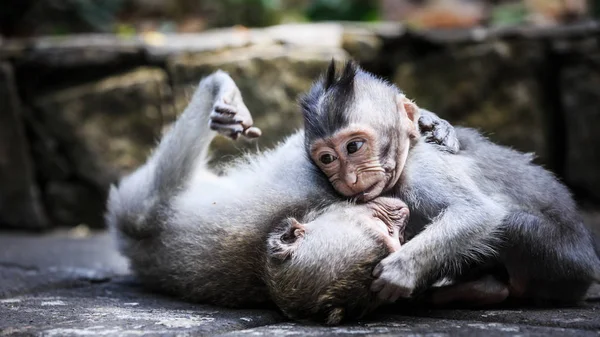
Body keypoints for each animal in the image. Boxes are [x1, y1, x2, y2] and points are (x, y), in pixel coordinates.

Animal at [105, 68, 458, 322]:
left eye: (396, 237)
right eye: (382, 225)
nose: (401, 214)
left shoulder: (306, 181)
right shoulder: (309, 181)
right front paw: (425, 120)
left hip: (137, 204)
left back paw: (216, 86)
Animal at [302, 59, 600, 304]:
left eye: (353, 147)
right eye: (327, 158)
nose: (349, 178)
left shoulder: (421, 170)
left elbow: (476, 212)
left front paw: (401, 269)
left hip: (564, 262)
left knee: (514, 224)